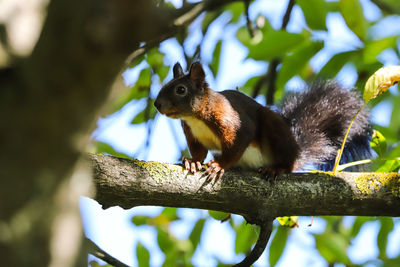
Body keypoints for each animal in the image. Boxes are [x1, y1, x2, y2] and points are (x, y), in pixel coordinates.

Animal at [154, 62, 372, 180]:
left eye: (181, 89)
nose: (156, 104)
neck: (195, 118)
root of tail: (297, 151)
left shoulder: (232, 121)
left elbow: (238, 141)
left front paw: (219, 165)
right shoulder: (192, 134)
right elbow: (198, 152)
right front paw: (192, 162)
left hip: (276, 133)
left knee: (287, 163)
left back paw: (276, 169)